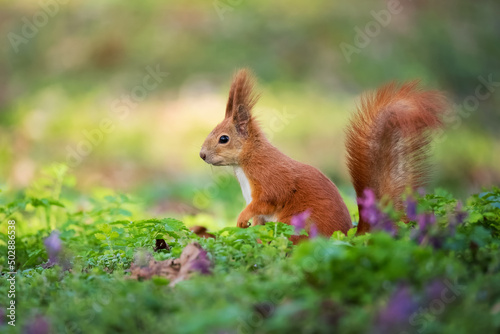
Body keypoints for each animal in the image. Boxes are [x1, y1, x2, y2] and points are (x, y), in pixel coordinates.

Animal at [199, 68, 446, 235]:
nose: (202, 155)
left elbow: (268, 199)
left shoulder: (270, 180)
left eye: (223, 139)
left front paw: (241, 219)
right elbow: (258, 216)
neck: (247, 162)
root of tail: (347, 236)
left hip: (297, 224)